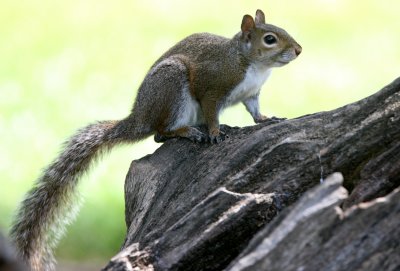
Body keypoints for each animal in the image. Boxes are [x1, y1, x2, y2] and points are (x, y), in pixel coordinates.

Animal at [10, 9, 300, 271]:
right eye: (270, 39)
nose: (298, 50)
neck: (251, 63)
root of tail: (140, 117)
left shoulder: (251, 94)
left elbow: (255, 112)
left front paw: (267, 119)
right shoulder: (211, 88)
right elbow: (211, 112)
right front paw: (216, 133)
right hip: (172, 87)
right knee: (160, 133)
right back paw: (188, 132)